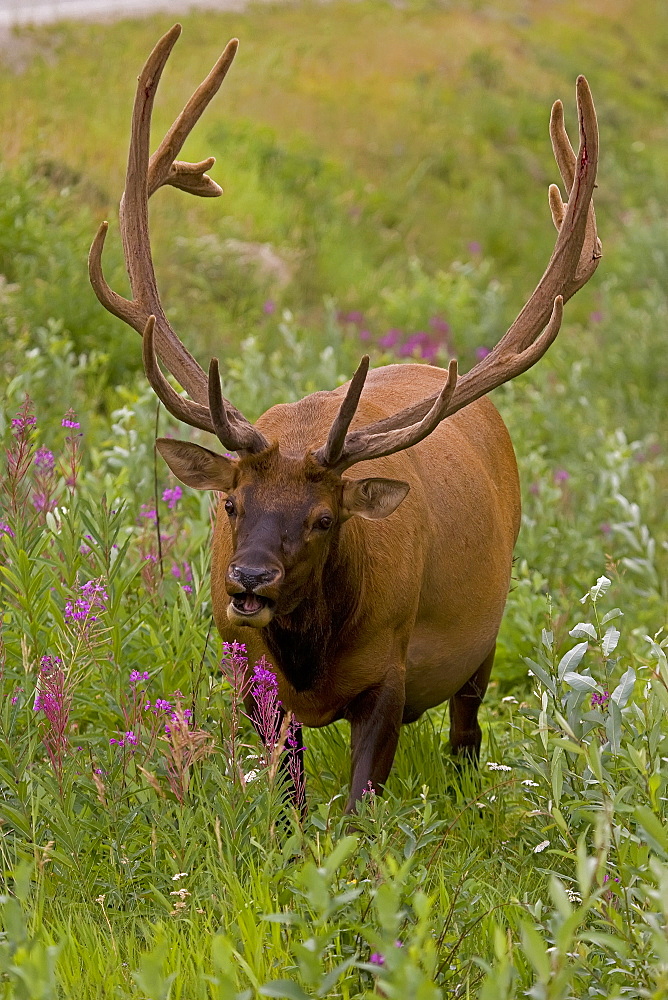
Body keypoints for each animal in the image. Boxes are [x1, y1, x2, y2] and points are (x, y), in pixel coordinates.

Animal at [87, 25, 600, 812]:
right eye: (231, 503)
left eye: (325, 518)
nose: (248, 581)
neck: (310, 658)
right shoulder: (250, 680)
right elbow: (290, 800)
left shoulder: (392, 670)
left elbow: (360, 807)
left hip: (485, 631)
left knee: (467, 730)